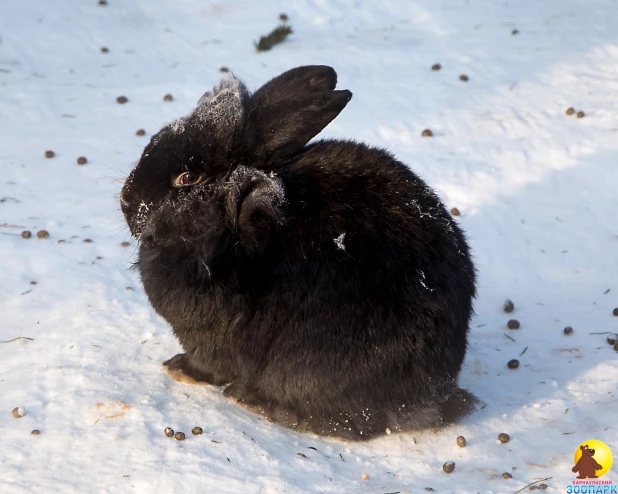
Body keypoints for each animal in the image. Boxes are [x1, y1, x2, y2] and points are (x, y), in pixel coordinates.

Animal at [121, 65, 476, 440]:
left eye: (188, 177)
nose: (127, 201)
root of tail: (428, 397)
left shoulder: (210, 340)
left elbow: (208, 365)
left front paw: (180, 368)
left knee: (350, 425)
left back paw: (254, 401)